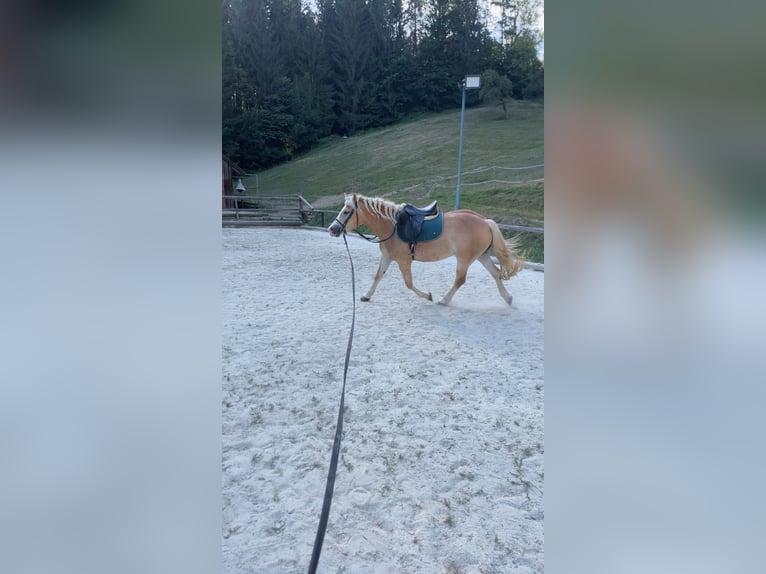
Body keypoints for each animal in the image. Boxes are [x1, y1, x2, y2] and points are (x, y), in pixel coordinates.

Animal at [328, 194, 524, 308]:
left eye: (346, 212)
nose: (332, 229)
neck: (392, 226)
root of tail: (485, 221)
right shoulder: (387, 257)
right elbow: (377, 277)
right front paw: (366, 296)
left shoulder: (403, 261)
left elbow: (409, 283)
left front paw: (427, 296)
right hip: (481, 256)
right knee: (496, 273)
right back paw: (507, 298)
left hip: (464, 259)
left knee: (460, 280)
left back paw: (444, 300)